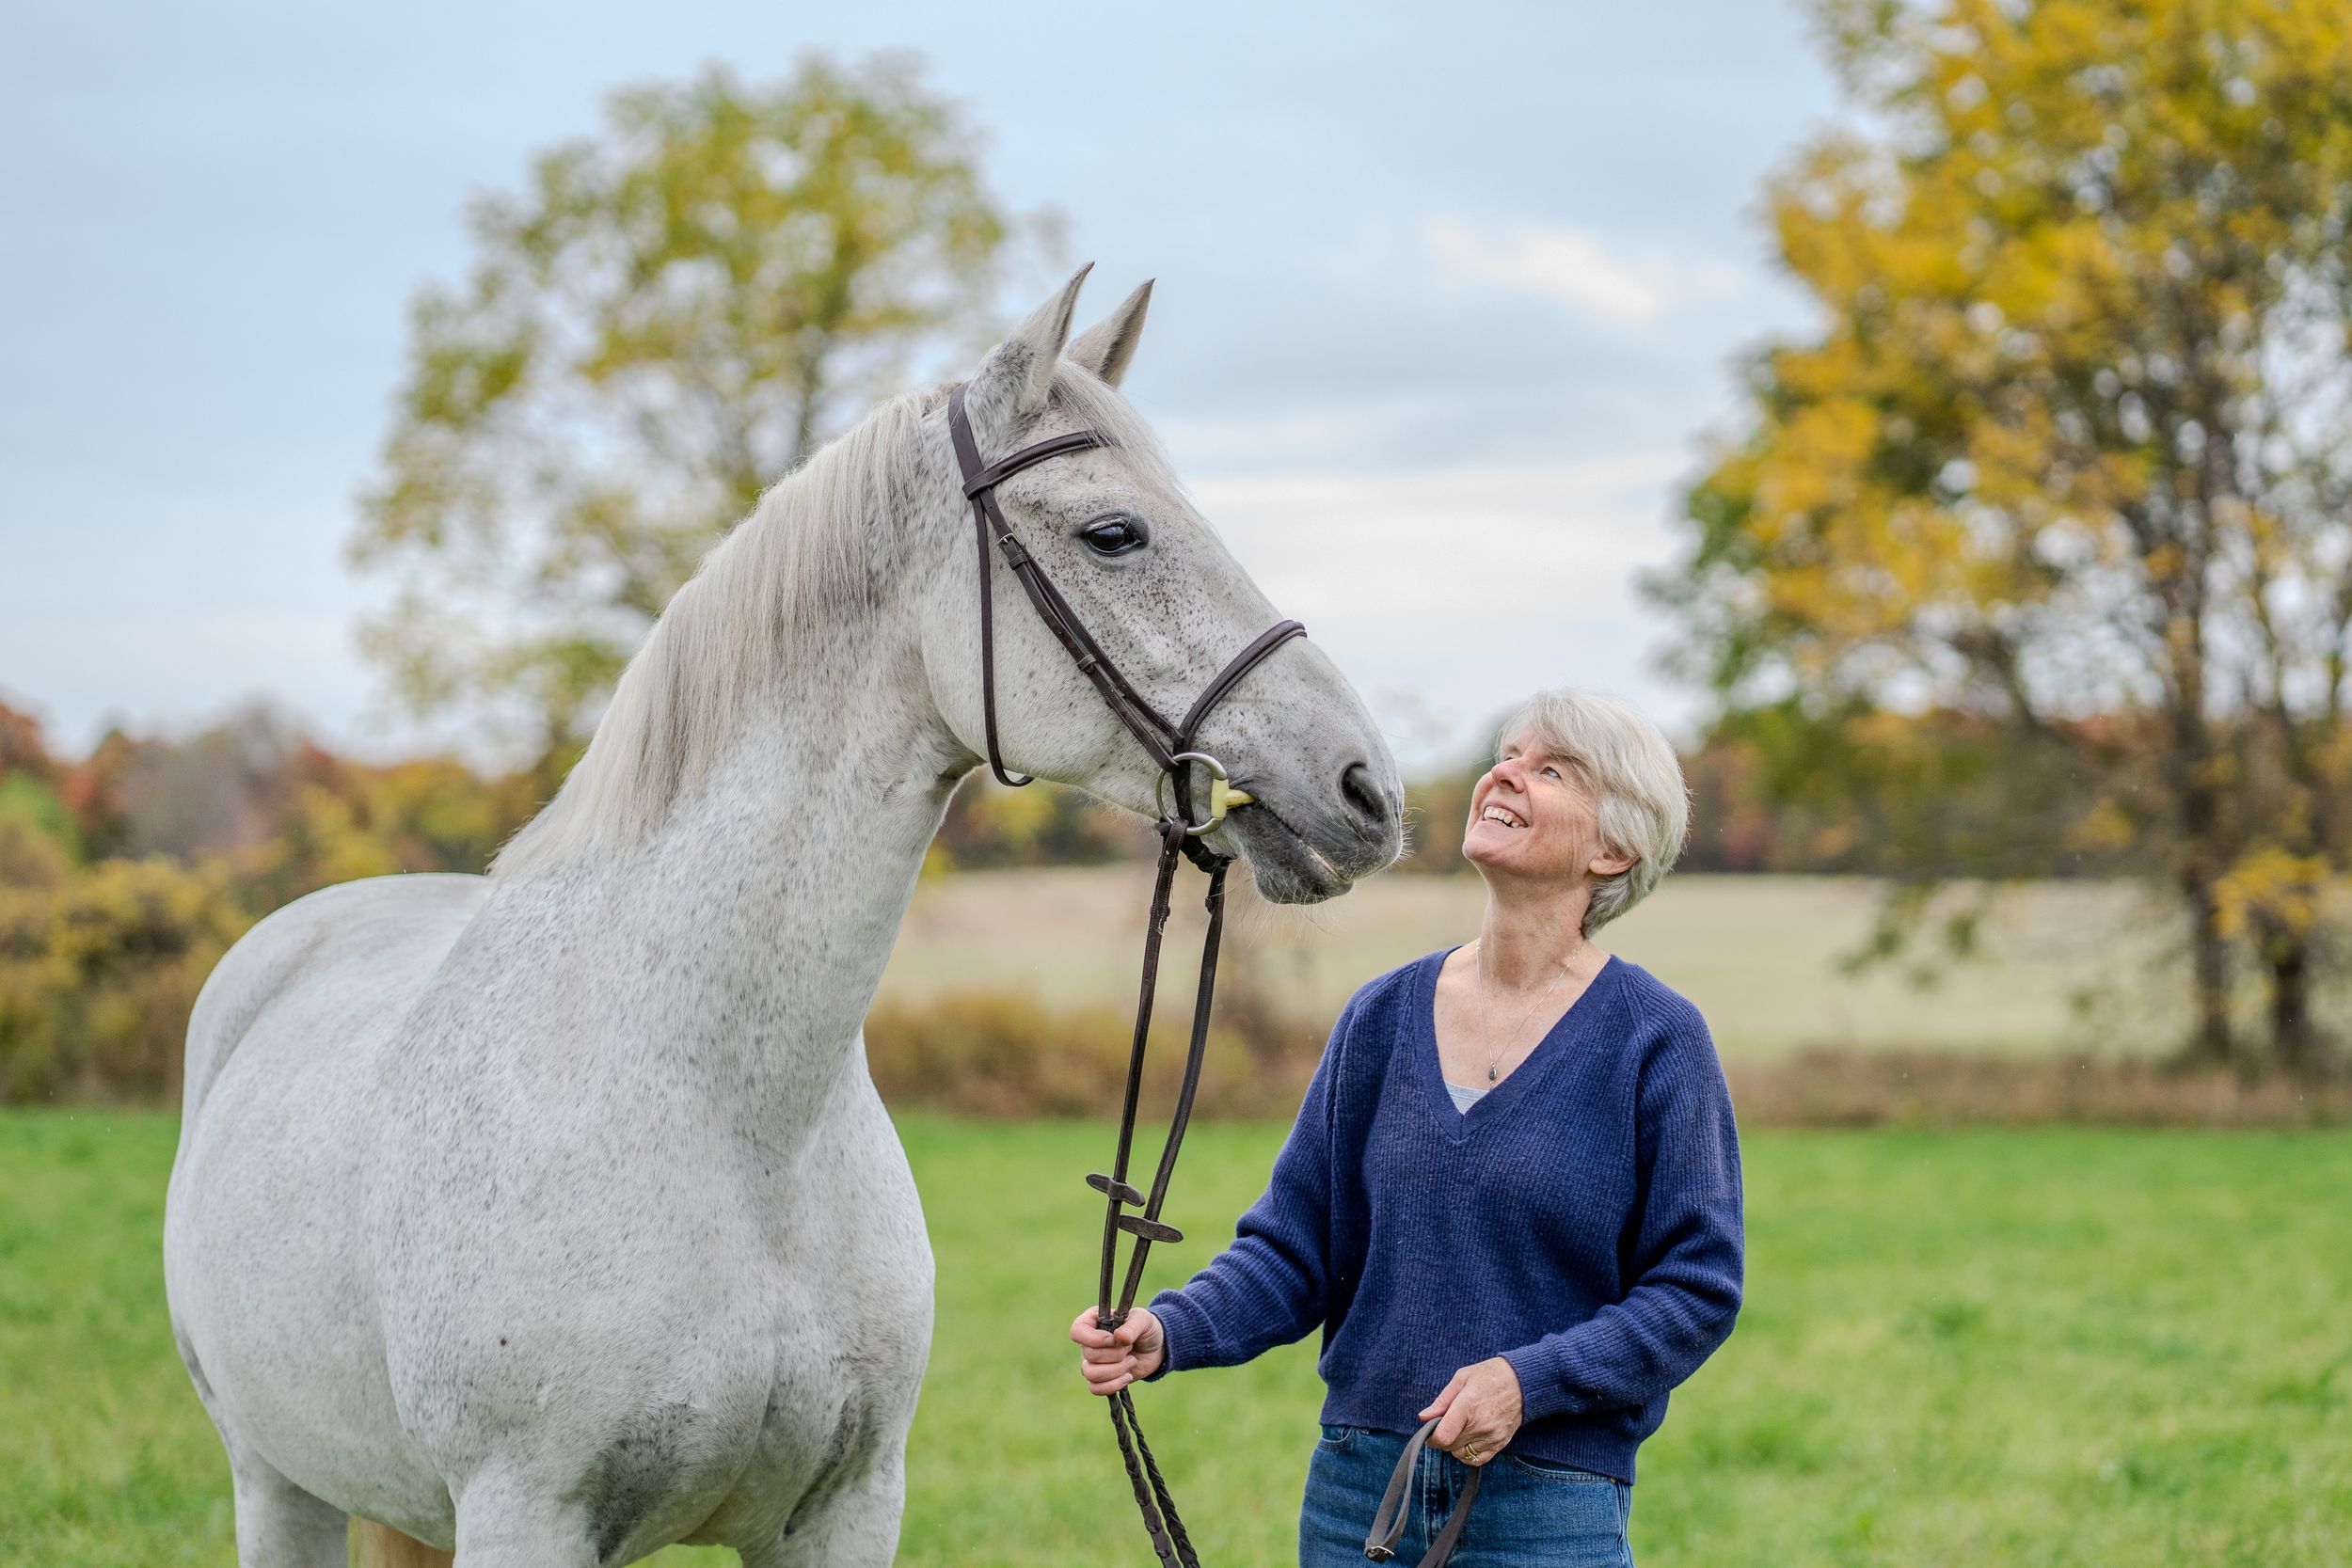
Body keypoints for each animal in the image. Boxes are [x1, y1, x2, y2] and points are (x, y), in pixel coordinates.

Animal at [163, 267, 1405, 1568]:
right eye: (1113, 533)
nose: (1366, 789)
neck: (721, 1111)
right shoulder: (524, 1511)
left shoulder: (847, 1509)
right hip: (276, 1481)